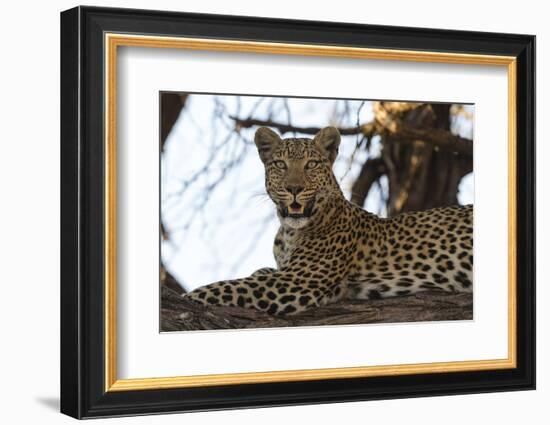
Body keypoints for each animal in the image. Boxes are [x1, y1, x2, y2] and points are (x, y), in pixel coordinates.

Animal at [184, 126, 474, 314]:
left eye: (311, 164)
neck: (289, 232)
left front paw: (187, 297)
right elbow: (258, 272)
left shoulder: (296, 281)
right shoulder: (286, 273)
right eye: (280, 164)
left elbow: (223, 288)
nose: (294, 188)